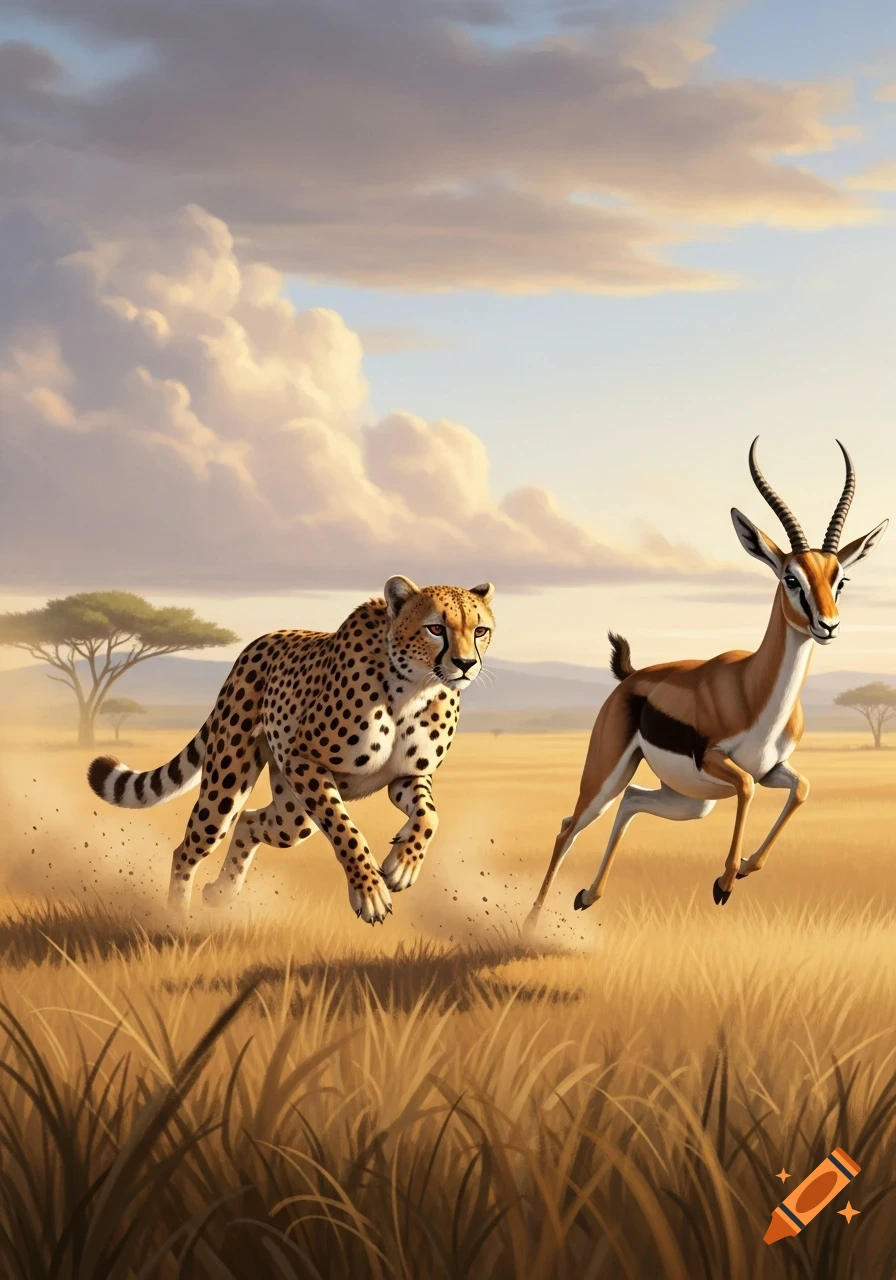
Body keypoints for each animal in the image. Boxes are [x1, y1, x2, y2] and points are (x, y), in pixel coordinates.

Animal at [87, 576, 495, 923]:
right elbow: (346, 831)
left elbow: (429, 817)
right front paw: (370, 892)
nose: (465, 664)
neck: (414, 688)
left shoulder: (407, 775)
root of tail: (260, 640)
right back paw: (176, 919)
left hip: (293, 817)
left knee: (250, 820)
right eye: (435, 628)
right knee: (189, 848)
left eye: (480, 630)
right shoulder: (304, 761)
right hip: (230, 784)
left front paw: (402, 865)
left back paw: (221, 892)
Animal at [525, 439, 888, 929]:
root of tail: (630, 678)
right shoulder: (721, 762)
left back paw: (587, 895)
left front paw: (745, 868)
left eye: (840, 579)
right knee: (570, 825)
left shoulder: (773, 768)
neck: (755, 692)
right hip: (610, 775)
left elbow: (802, 789)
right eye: (791, 577)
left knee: (632, 801)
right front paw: (724, 882)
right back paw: (531, 921)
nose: (827, 625)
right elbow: (748, 789)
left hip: (691, 801)